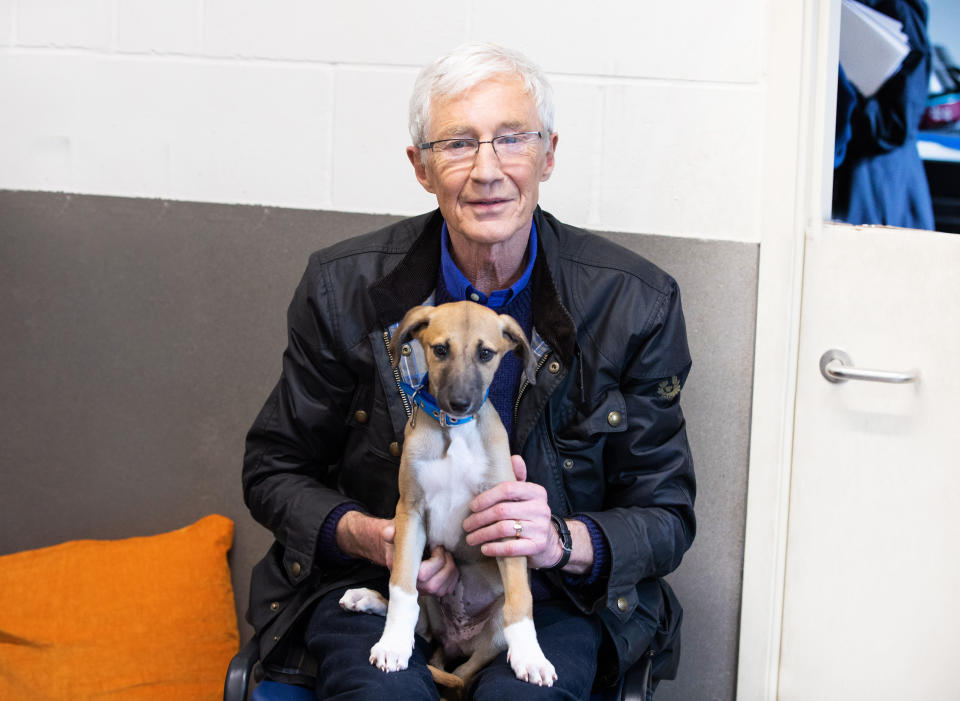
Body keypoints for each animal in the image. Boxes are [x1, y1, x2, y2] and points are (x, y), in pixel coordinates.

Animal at [342, 300, 560, 688]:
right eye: (440, 349)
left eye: (486, 353)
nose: (460, 403)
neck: (454, 429)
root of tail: (456, 639)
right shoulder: (410, 512)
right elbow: (402, 586)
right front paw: (393, 644)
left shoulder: (507, 517)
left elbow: (521, 600)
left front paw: (532, 658)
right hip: (431, 608)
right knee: (420, 621)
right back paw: (366, 599)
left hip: (488, 640)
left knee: (466, 669)